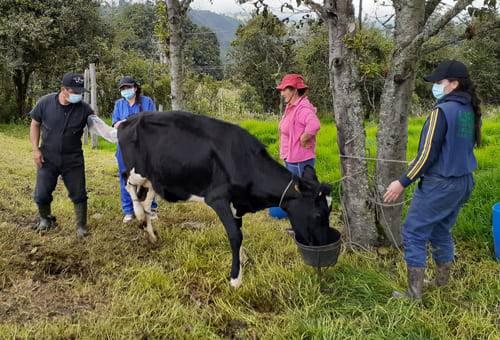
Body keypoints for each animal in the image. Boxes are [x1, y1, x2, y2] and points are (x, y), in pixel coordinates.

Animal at [119, 111, 334, 286]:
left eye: (330, 211)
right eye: (317, 214)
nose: (324, 245)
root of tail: (128, 120)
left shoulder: (237, 204)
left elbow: (239, 231)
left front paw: (243, 260)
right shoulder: (218, 198)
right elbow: (235, 235)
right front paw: (235, 278)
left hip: (154, 178)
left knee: (145, 200)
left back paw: (151, 233)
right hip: (137, 171)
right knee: (126, 181)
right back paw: (138, 215)